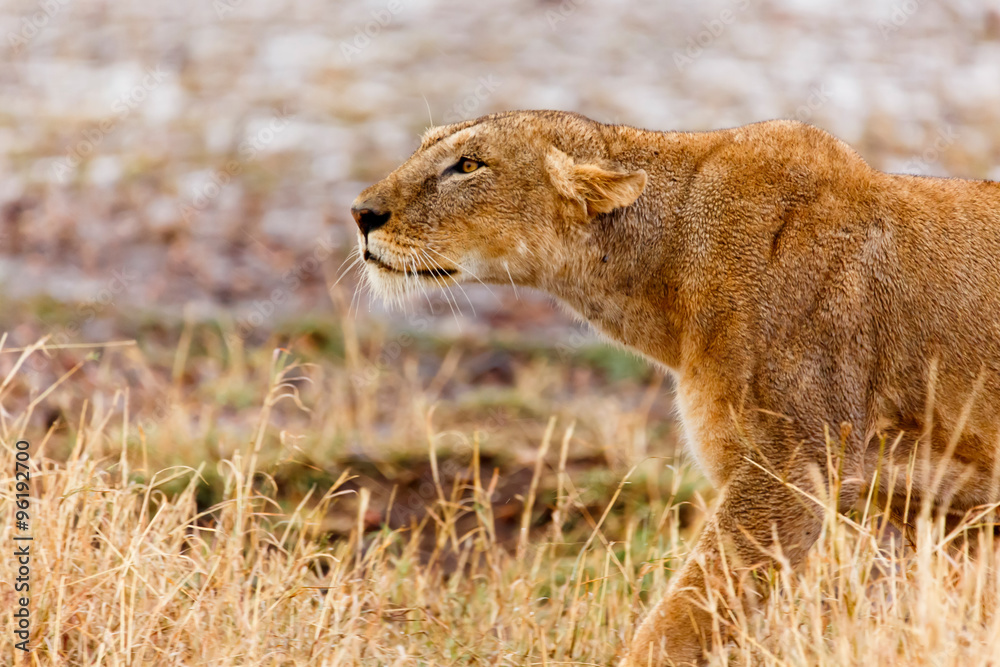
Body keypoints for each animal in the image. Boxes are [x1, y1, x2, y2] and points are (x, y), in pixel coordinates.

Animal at [350, 110, 1000, 665]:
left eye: (469, 165)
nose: (360, 213)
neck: (666, 272)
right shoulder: (946, 508)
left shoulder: (790, 466)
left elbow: (684, 616)